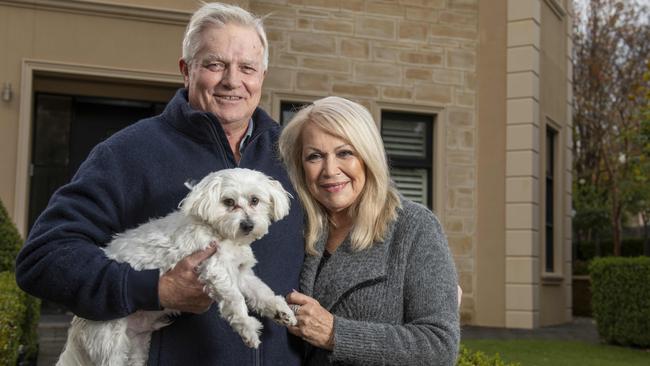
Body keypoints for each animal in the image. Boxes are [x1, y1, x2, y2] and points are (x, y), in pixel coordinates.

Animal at [57, 169, 298, 366]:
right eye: (228, 202)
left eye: (255, 200)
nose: (248, 225)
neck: (221, 234)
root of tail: (78, 320)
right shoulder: (216, 270)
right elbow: (236, 300)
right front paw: (247, 327)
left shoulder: (240, 274)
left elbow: (261, 293)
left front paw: (281, 311)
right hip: (111, 345)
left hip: (136, 347)